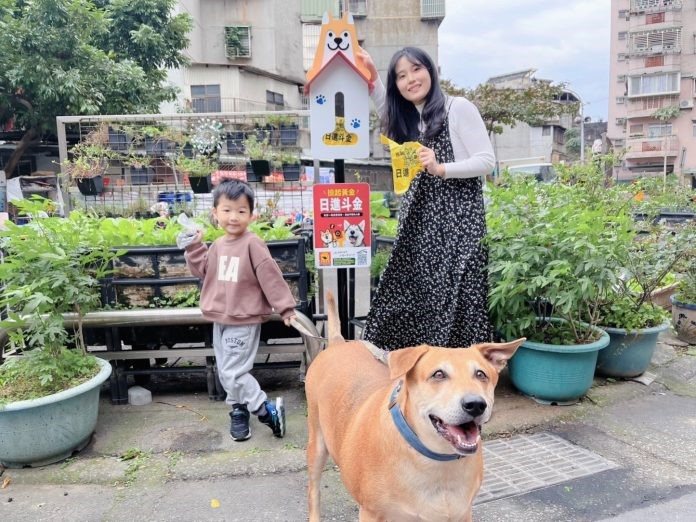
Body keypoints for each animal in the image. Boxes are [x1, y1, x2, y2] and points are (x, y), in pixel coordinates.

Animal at [304, 292, 520, 520]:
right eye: (438, 374)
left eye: (481, 374)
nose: (475, 404)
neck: (436, 460)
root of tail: (338, 343)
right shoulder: (372, 513)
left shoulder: (462, 512)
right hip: (316, 445)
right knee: (313, 491)